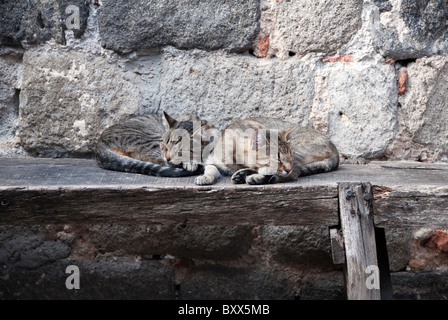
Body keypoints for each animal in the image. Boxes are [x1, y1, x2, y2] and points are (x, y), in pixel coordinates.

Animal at [194, 117, 338, 185]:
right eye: (278, 158)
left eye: (290, 156)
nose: (289, 167)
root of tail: (336, 151)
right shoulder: (211, 161)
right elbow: (210, 169)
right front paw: (205, 177)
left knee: (292, 175)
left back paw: (253, 177)